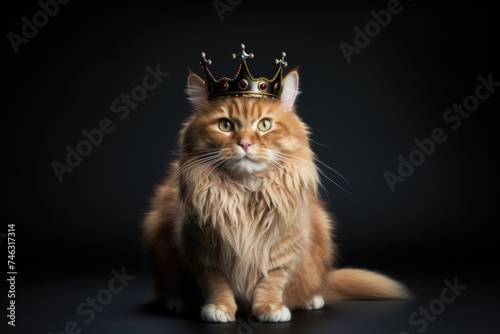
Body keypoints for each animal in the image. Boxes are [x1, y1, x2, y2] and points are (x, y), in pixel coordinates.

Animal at [142, 68, 410, 324]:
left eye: (264, 125)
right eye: (225, 125)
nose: (245, 144)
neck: (245, 193)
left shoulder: (284, 246)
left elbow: (272, 280)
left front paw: (270, 308)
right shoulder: (200, 248)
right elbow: (216, 282)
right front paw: (219, 308)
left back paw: (312, 300)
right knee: (169, 288)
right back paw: (176, 302)